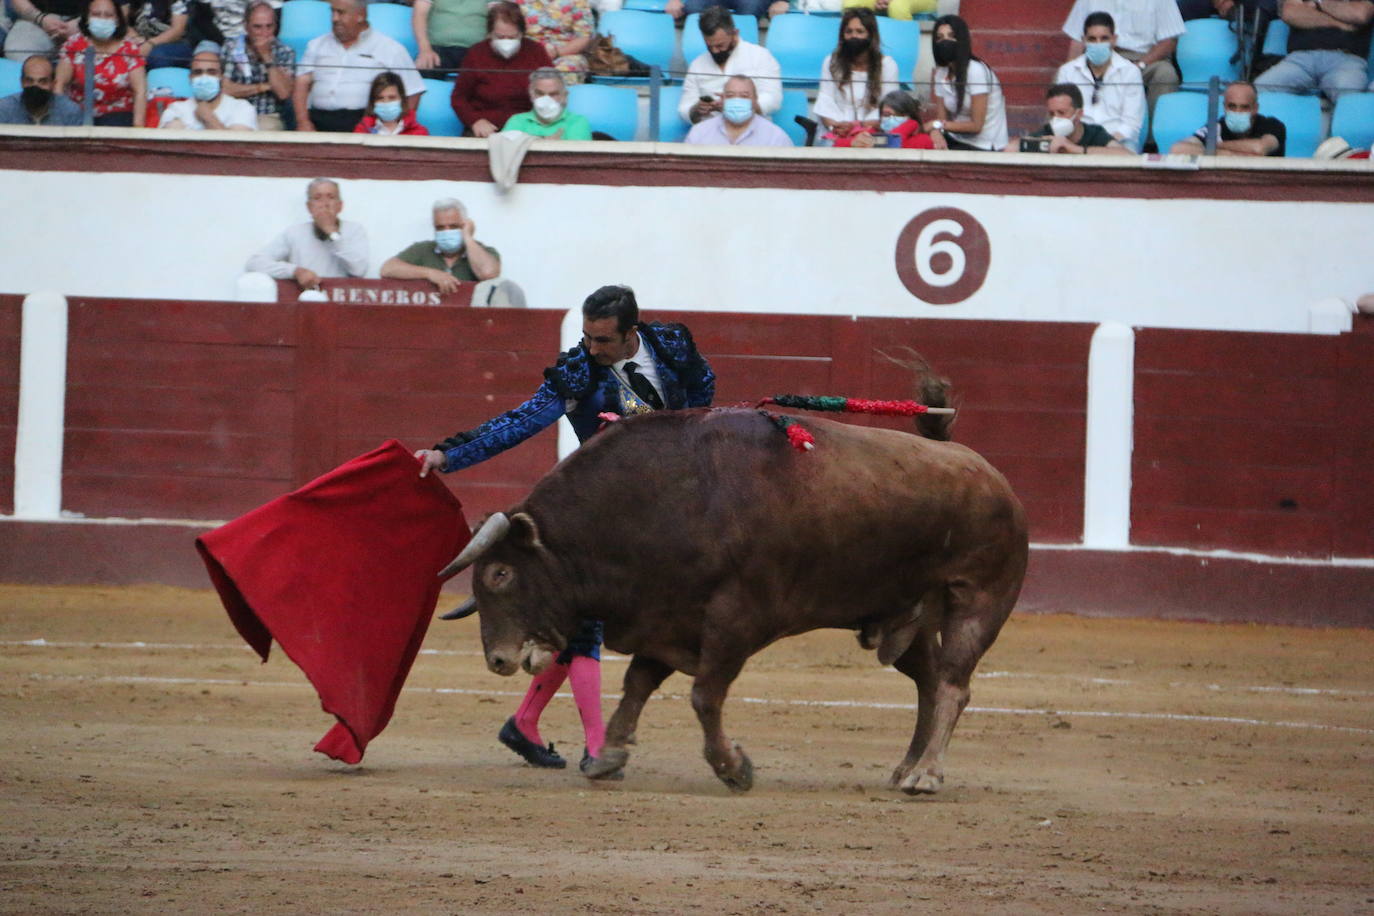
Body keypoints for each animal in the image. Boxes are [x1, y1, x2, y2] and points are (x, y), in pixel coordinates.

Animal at [445, 401, 1027, 796]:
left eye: (499, 573)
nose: (497, 659)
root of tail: (991, 475)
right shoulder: (665, 616)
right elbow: (638, 684)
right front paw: (608, 755)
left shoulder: (736, 621)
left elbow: (704, 693)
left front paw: (734, 768)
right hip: (906, 617)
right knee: (929, 681)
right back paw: (906, 767)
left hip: (979, 600)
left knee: (953, 685)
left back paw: (926, 775)